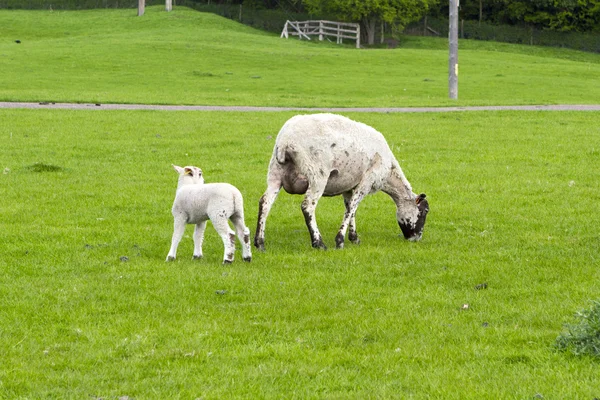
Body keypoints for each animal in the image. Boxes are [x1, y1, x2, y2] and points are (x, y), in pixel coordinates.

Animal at [255, 112, 428, 250]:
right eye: (425, 211)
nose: (416, 238)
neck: (390, 173)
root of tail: (286, 141)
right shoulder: (367, 181)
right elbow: (352, 207)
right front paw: (340, 241)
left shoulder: (349, 186)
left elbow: (350, 208)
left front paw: (354, 237)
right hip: (317, 174)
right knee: (307, 206)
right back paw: (318, 243)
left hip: (275, 173)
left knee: (265, 202)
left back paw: (259, 243)